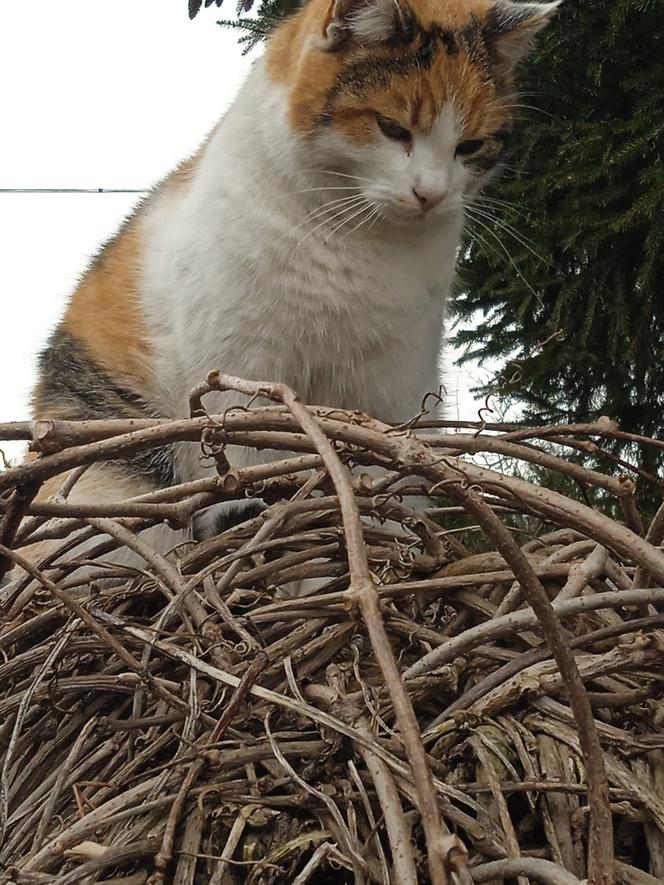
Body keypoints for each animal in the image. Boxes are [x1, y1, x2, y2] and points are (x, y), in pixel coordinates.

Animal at [26, 0, 556, 568]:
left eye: (470, 146)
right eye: (392, 128)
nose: (430, 194)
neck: (360, 247)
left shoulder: (389, 394)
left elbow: (378, 482)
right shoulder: (244, 386)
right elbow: (258, 468)